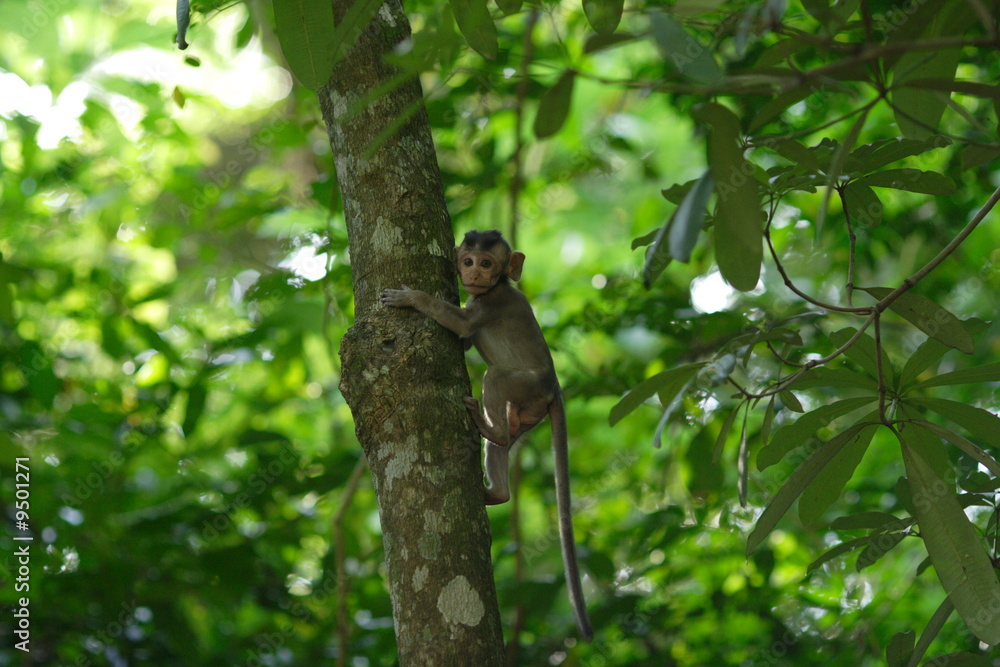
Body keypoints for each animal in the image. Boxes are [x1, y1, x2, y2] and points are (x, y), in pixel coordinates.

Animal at [381, 230, 593, 640]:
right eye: (468, 261)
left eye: (486, 263)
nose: (474, 275)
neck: (498, 286)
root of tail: (554, 388)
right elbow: (461, 339)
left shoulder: (489, 303)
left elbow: (463, 327)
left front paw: (411, 298)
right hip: (527, 413)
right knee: (500, 447)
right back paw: (497, 487)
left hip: (527, 386)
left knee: (494, 378)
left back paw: (486, 425)